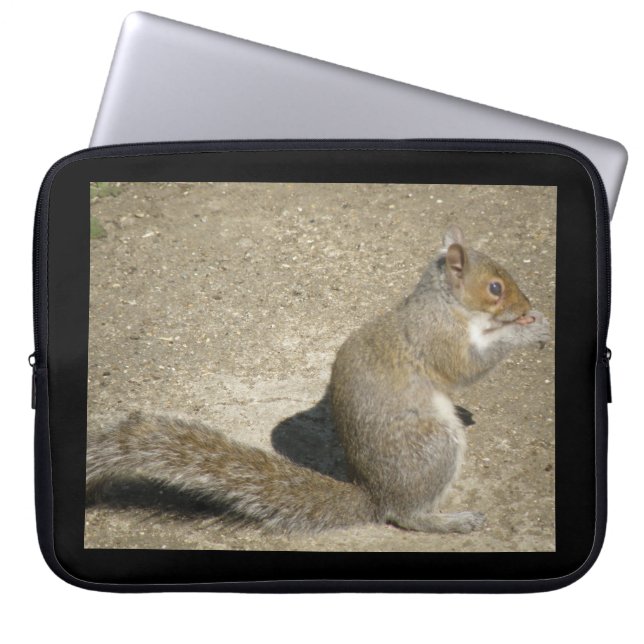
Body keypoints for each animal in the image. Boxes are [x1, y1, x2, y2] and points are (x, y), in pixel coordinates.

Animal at [86, 224, 549, 534]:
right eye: (495, 287)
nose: (528, 305)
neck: (446, 304)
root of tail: (375, 495)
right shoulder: (437, 339)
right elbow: (466, 368)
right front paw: (528, 331)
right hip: (433, 447)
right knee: (405, 516)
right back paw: (450, 521)